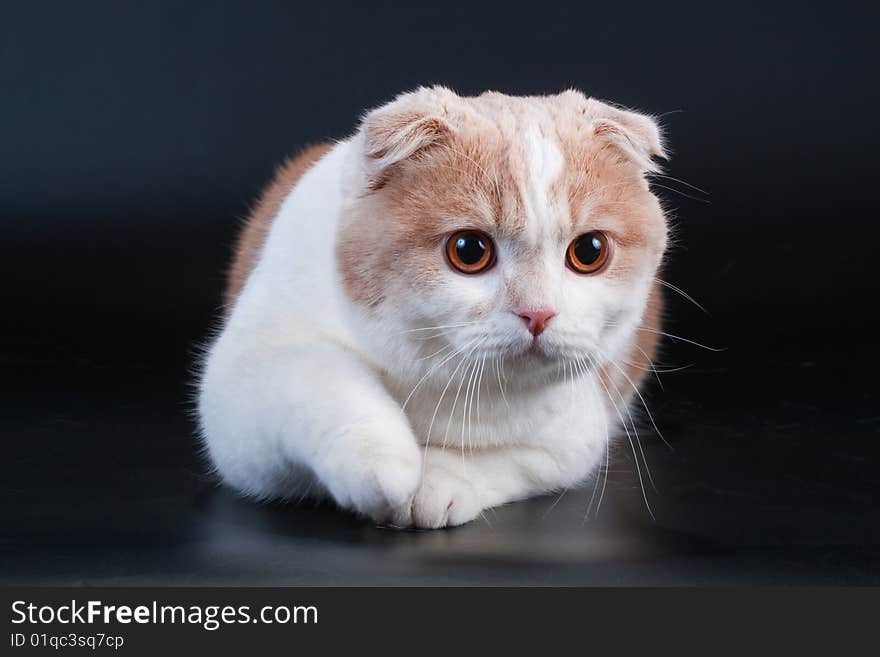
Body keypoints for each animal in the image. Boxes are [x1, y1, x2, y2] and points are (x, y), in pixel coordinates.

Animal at [199, 86, 668, 528]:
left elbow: (508, 458)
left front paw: (435, 482)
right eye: (469, 250)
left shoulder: (573, 433)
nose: (538, 313)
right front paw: (383, 464)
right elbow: (321, 378)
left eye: (589, 251)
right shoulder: (241, 389)